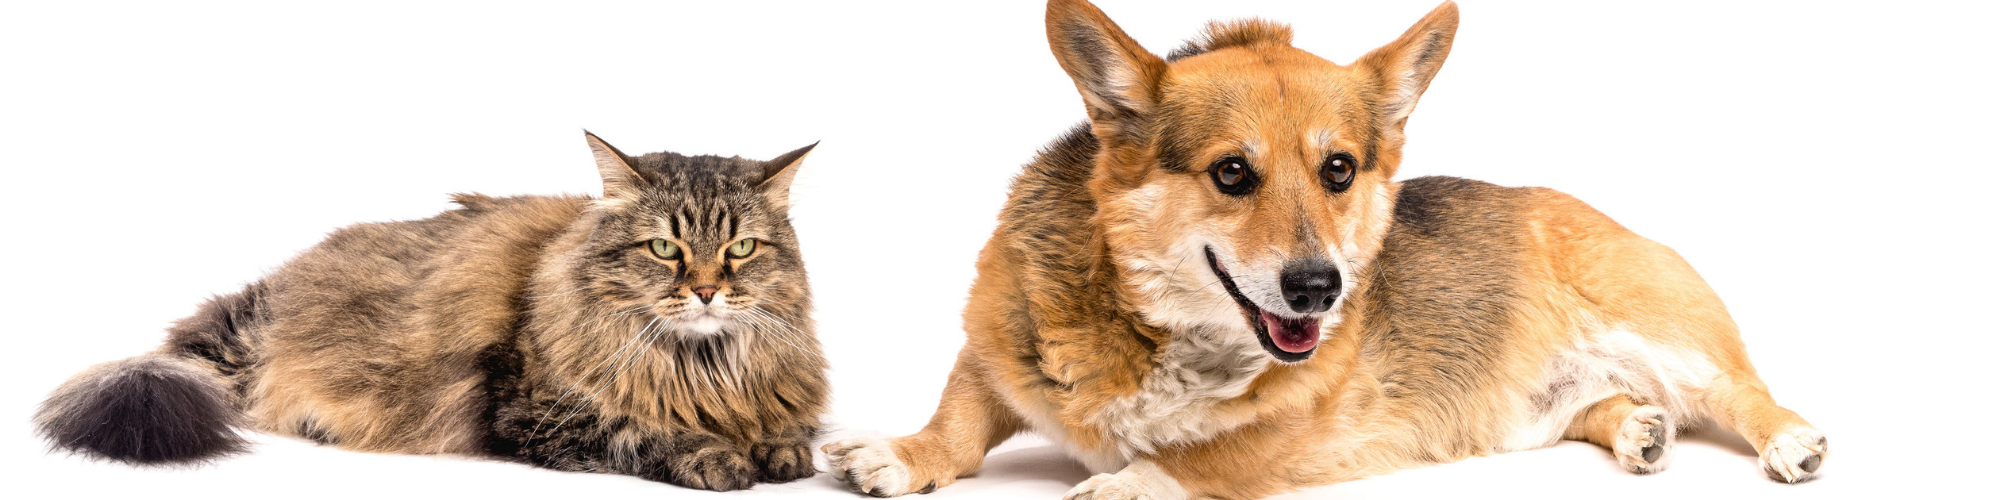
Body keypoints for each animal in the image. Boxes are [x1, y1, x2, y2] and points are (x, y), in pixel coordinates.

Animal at [39, 131, 836, 490]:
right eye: (665, 249)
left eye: (740, 249)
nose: (705, 291)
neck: (705, 365)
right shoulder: (535, 412)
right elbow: (645, 429)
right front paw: (718, 456)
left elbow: (790, 427)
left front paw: (778, 449)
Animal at [824, 0, 1832, 498]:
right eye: (1232, 173)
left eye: (1339, 169)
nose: (1318, 288)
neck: (1162, 336)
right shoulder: (994, 351)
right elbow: (957, 421)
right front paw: (898, 455)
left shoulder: (1283, 433)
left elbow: (1193, 461)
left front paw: (1122, 485)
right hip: (1531, 415)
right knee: (1608, 405)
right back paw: (1637, 428)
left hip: (1672, 337)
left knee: (1742, 393)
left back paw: (1790, 441)